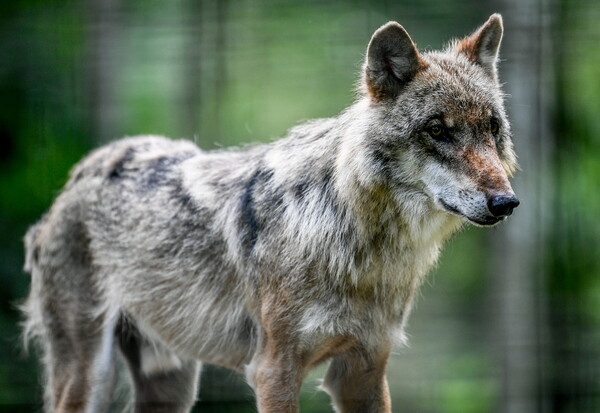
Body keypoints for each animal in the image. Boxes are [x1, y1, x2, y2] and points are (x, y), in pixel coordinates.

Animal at [22, 14, 520, 412]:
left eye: (491, 128)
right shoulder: (274, 370)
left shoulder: (364, 371)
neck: (361, 248)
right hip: (90, 377)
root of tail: (82, 171)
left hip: (172, 385)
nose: (506, 202)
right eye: (437, 130)